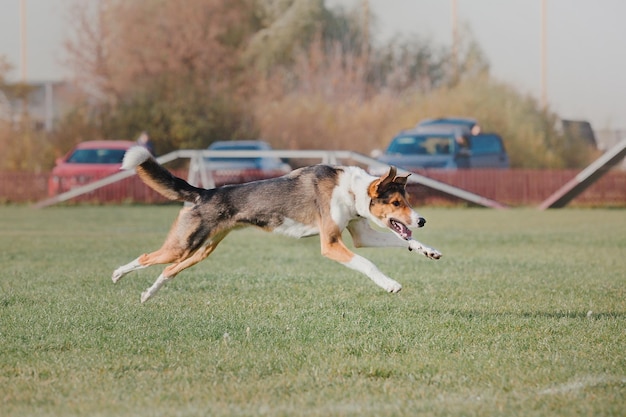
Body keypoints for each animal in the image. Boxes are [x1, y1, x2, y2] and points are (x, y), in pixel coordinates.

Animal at [112, 147, 438, 302]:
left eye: (407, 201)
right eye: (395, 203)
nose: (421, 220)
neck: (350, 190)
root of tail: (204, 192)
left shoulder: (361, 235)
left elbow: (403, 240)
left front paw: (428, 250)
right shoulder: (331, 244)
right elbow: (368, 264)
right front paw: (391, 284)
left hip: (201, 250)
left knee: (168, 270)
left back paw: (147, 295)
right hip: (183, 244)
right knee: (147, 257)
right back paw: (116, 274)